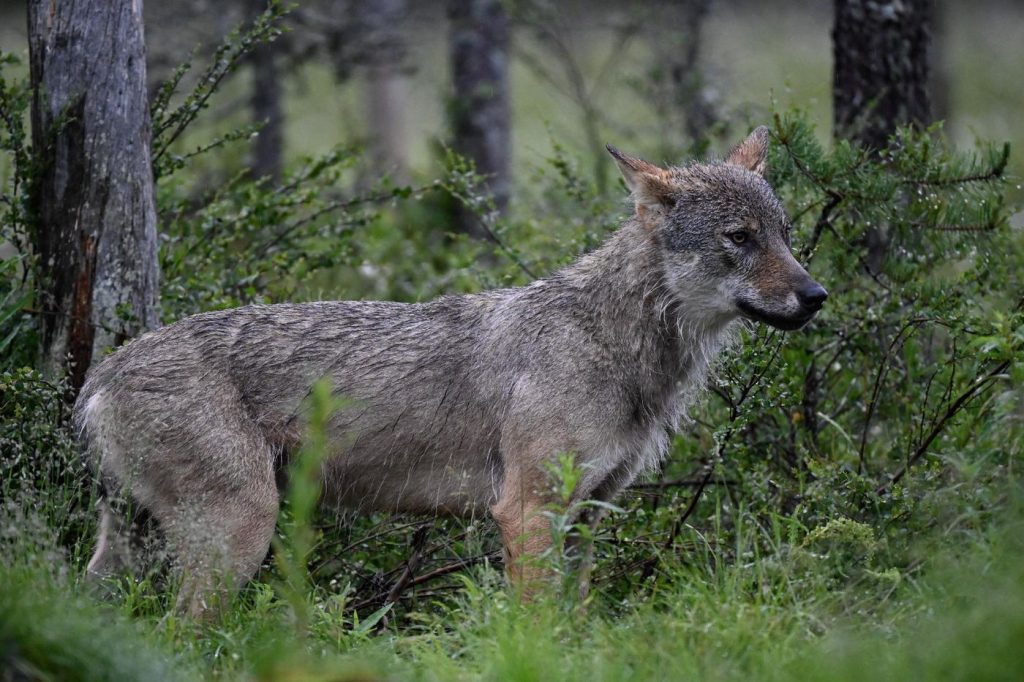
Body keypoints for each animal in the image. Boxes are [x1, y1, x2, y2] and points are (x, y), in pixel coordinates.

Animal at [74, 124, 823, 614]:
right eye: (739, 239)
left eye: (786, 236)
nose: (816, 296)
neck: (619, 349)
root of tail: (100, 375)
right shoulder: (527, 511)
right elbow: (538, 629)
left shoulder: (588, 516)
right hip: (240, 534)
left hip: (138, 550)